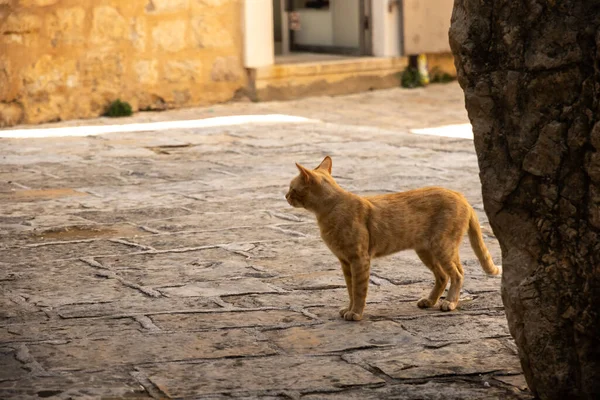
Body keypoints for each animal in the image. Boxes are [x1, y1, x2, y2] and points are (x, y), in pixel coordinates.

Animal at [286, 155, 502, 320]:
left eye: (292, 188)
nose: (285, 196)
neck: (329, 210)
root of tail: (460, 195)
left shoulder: (359, 259)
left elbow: (359, 290)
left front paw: (356, 313)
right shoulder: (345, 262)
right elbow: (350, 289)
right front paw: (349, 308)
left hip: (442, 246)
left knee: (457, 273)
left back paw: (449, 302)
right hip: (428, 250)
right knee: (444, 275)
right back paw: (430, 301)